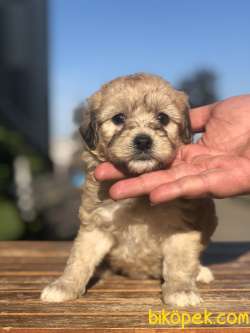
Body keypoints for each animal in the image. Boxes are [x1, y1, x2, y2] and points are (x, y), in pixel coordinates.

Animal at [41, 72, 217, 306]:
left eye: (162, 118)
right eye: (118, 118)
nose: (143, 141)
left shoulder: (182, 227)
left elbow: (180, 263)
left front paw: (181, 290)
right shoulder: (95, 225)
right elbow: (80, 258)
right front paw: (65, 285)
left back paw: (200, 271)